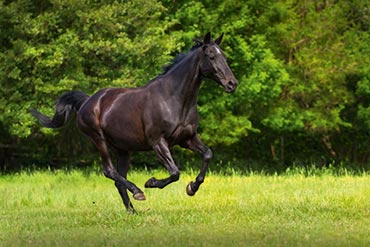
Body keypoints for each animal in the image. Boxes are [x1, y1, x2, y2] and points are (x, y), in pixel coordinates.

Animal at [32, 31, 240, 213]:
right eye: (211, 56)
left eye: (224, 56)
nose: (232, 84)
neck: (173, 98)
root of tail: (87, 101)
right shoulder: (158, 142)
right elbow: (175, 172)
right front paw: (151, 182)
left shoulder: (187, 139)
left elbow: (207, 154)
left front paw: (192, 188)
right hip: (99, 139)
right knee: (109, 171)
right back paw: (138, 193)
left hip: (123, 149)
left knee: (118, 179)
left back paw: (132, 210)